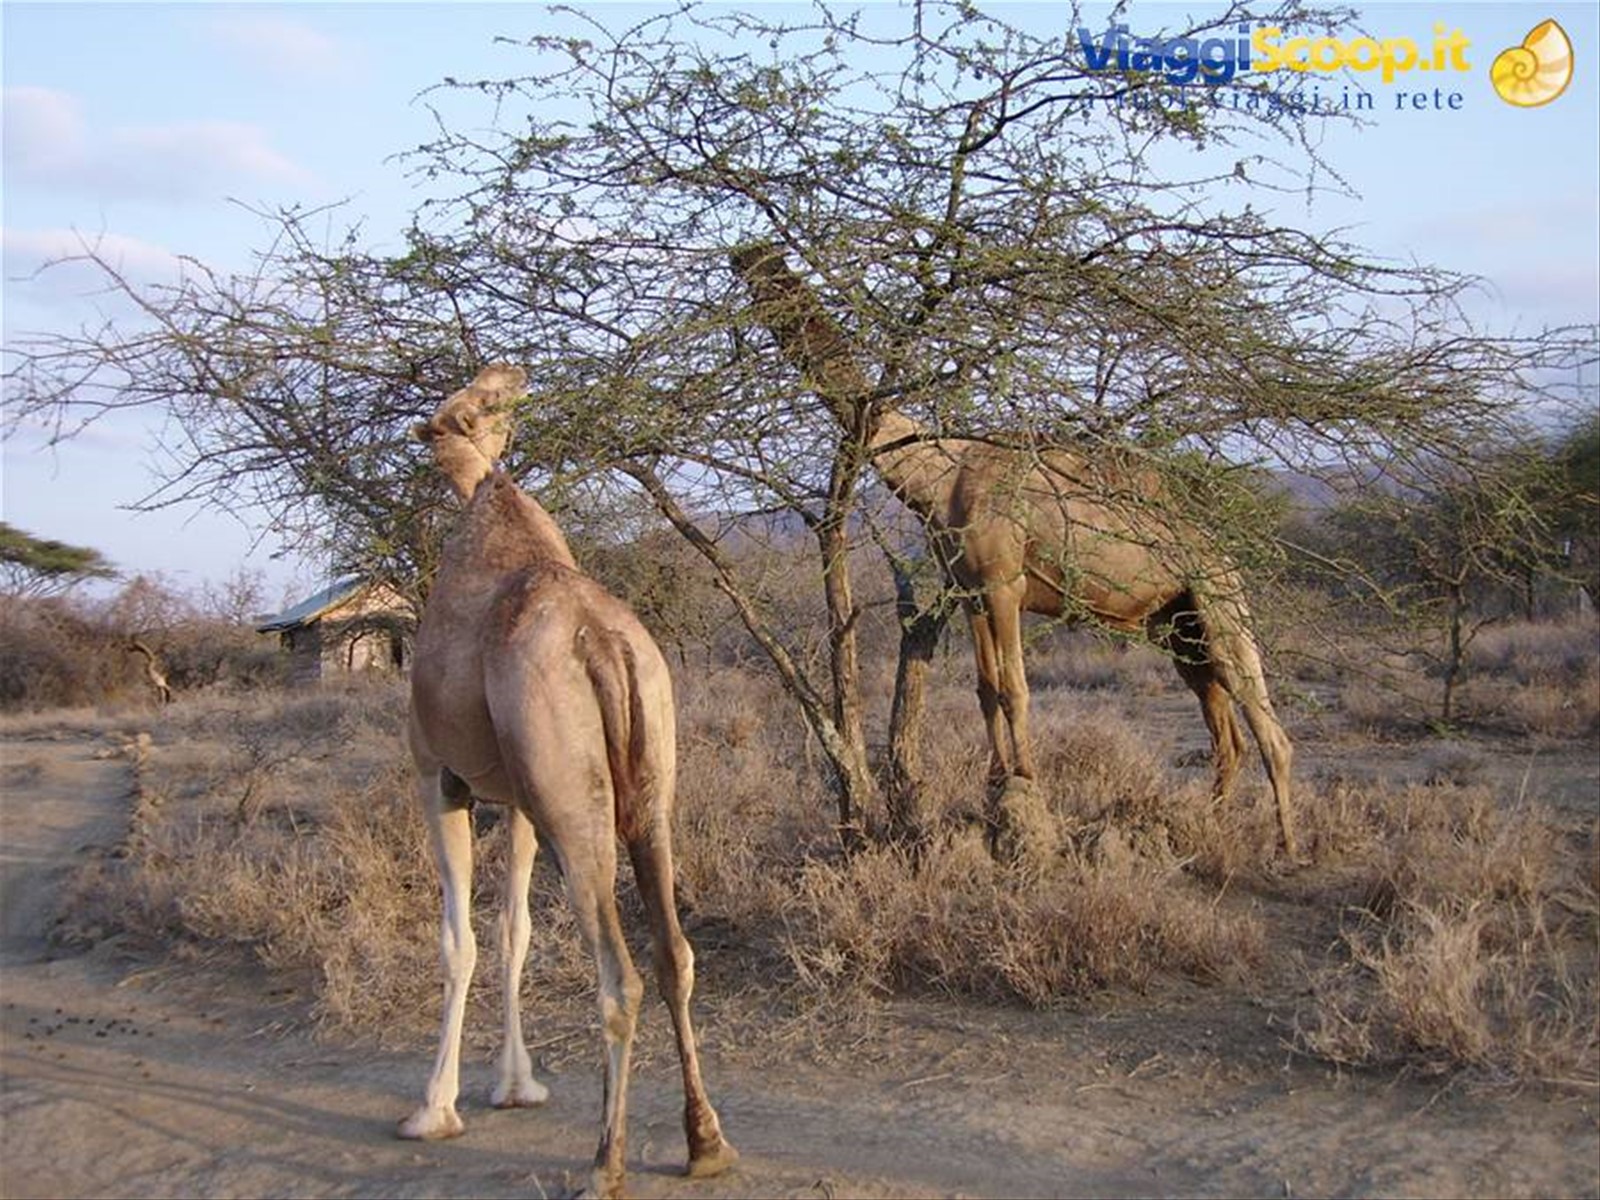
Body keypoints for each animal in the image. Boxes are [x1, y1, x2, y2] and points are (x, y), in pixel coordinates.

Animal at [401, 364, 737, 1198]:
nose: (512, 372)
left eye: (477, 403)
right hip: (646, 788)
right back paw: (706, 1143)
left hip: (571, 805)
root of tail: (606, 644)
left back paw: (603, 1164)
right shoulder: (520, 800)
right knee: (674, 954)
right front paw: (516, 1085)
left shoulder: (438, 777)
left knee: (619, 976)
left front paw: (433, 1109)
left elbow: (458, 940)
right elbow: (513, 931)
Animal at [730, 246, 1299, 861]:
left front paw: (1026, 778)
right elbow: (985, 688)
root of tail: (1220, 548)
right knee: (1226, 733)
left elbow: (1015, 688)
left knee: (1265, 721)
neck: (938, 474)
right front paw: (996, 779)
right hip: (1177, 625)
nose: (744, 261)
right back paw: (1205, 826)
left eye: (765, 267)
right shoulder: (970, 590)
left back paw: (1288, 845)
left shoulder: (1006, 583)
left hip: (1219, 601)